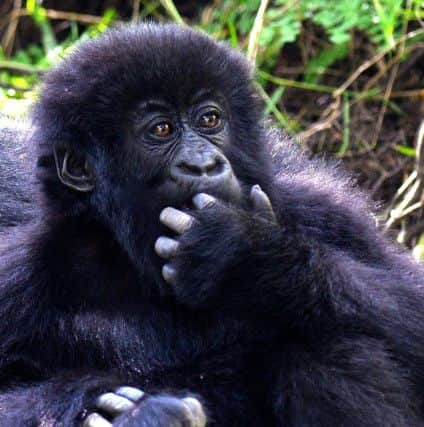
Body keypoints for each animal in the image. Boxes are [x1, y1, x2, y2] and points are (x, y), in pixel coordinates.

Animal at [0, 22, 424, 427]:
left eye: (209, 120)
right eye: (161, 130)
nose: (204, 164)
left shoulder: (319, 207)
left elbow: (411, 306)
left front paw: (247, 260)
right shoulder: (21, 273)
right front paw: (137, 413)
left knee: (328, 342)